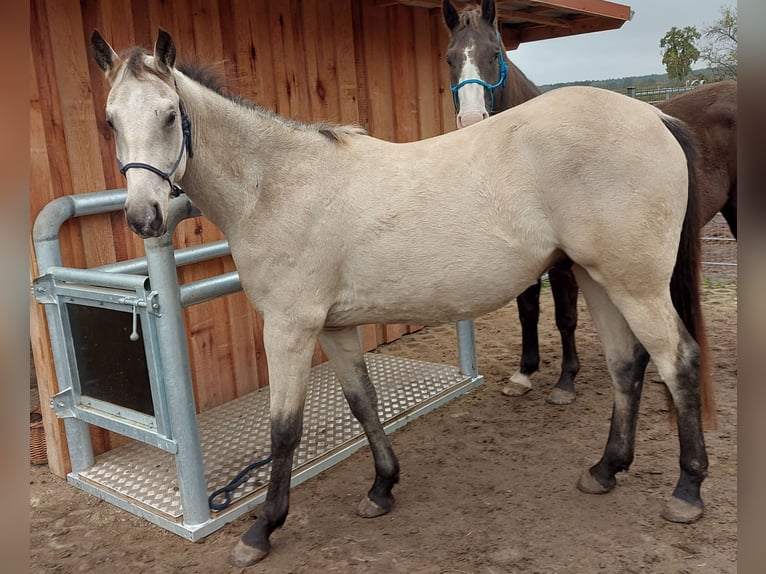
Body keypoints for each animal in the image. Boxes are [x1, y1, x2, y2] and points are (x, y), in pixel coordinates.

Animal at [91, 28, 712, 567]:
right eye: (110, 120)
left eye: (169, 114)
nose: (143, 217)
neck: (277, 185)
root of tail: (655, 115)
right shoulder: (333, 327)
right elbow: (362, 403)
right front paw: (382, 487)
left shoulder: (290, 328)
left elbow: (284, 429)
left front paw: (262, 529)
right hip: (596, 277)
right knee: (627, 365)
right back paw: (605, 470)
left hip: (634, 284)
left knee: (677, 361)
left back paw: (687, 490)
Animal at [443, 0, 737, 404]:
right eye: (450, 58)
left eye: (494, 53)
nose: (472, 119)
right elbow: (527, 310)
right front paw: (523, 373)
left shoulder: (563, 265)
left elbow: (565, 317)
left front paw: (566, 380)